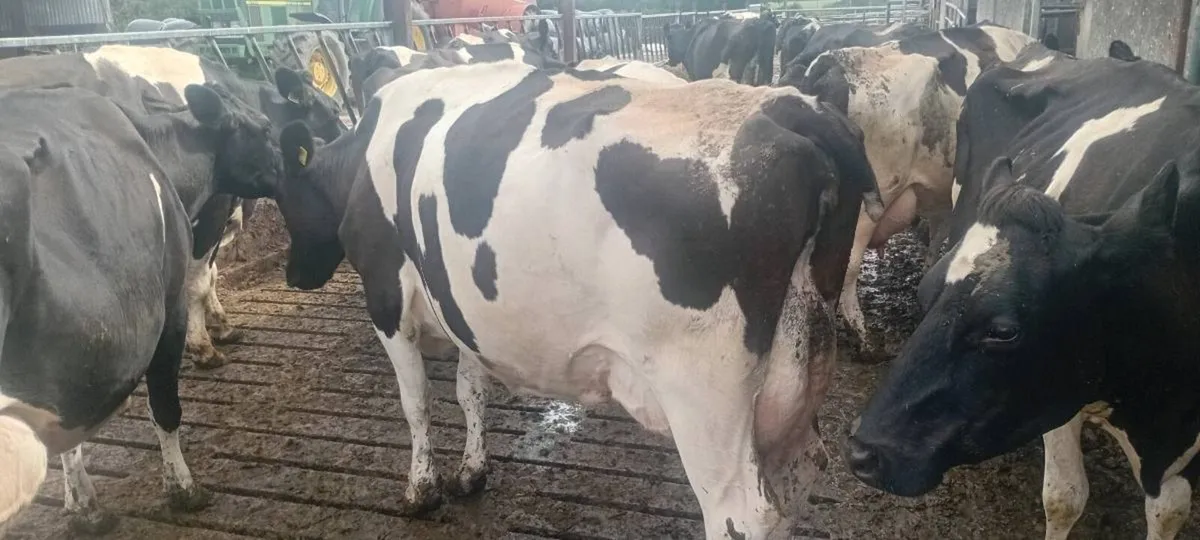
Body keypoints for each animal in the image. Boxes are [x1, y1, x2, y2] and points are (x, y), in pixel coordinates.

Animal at [0, 45, 343, 369]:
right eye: (335, 111)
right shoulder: (211, 211)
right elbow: (199, 280)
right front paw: (203, 346)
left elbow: (212, 273)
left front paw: (221, 326)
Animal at [0, 84, 279, 533]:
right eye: (266, 127)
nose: (300, 158)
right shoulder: (168, 306)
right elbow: (166, 406)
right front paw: (183, 489)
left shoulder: (69, 364)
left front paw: (82, 506)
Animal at [235, 60, 883, 538]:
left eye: (283, 194)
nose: (295, 276)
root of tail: (786, 106)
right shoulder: (464, 308)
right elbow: (469, 390)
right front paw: (472, 471)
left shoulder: (385, 295)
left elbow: (415, 401)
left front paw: (421, 489)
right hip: (795, 371)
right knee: (801, 476)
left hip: (704, 395)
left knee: (741, 512)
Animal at [846, 47, 1200, 540]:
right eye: (925, 292)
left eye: (1004, 330)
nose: (862, 452)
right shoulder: (1059, 394)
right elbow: (1065, 497)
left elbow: (1168, 511)